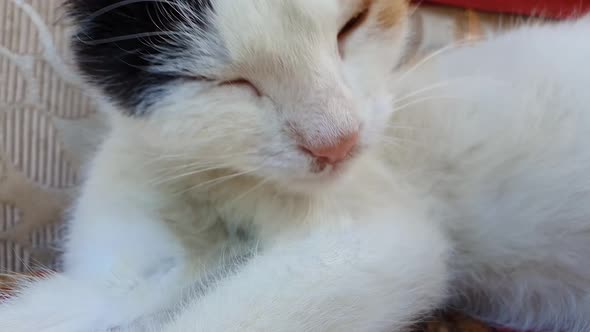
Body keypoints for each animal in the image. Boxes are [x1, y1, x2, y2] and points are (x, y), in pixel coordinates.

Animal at [1, 0, 590, 330]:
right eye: (226, 80)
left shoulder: (373, 238)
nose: (337, 143)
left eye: (352, 25)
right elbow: (98, 300)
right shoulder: (129, 267)